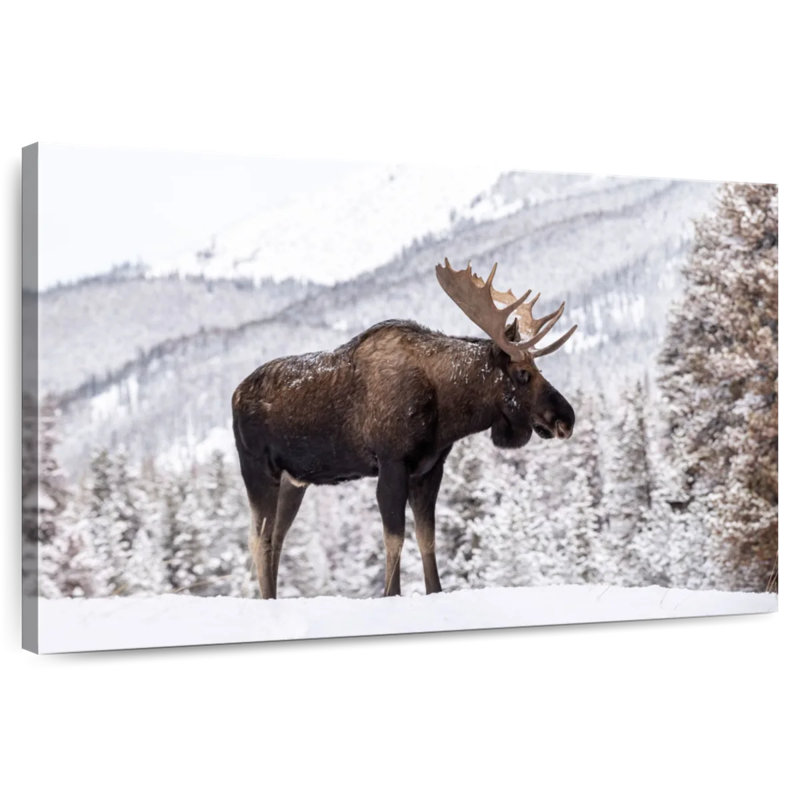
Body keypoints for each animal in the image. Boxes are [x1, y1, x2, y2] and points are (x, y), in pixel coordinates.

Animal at [232, 259, 577, 599]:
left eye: (538, 368)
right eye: (523, 373)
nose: (567, 418)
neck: (446, 410)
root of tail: (235, 395)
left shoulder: (429, 469)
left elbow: (427, 539)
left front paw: (434, 590)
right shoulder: (392, 463)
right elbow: (394, 540)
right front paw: (390, 594)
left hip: (294, 481)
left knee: (277, 538)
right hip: (258, 469)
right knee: (259, 539)